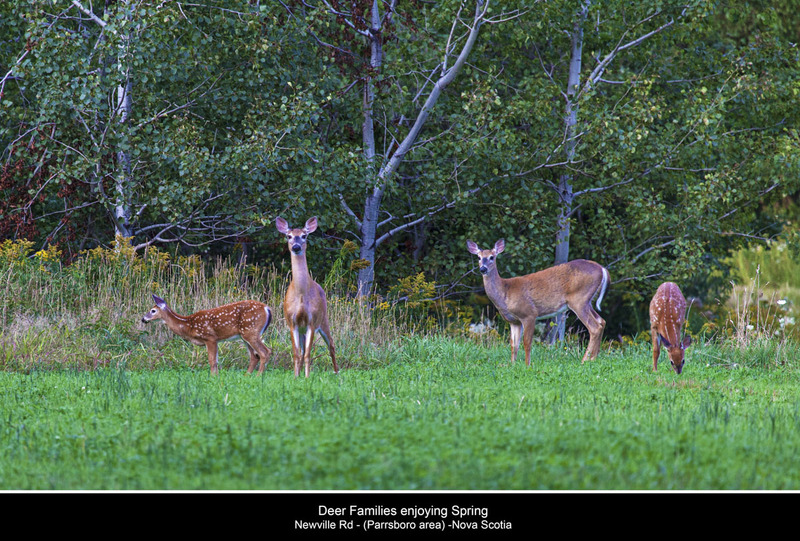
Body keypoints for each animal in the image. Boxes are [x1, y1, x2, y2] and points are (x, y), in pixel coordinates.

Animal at [141, 295, 273, 375]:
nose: (143, 319)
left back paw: (258, 376)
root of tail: (267, 309)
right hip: (245, 335)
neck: (188, 325)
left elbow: (212, 360)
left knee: (265, 352)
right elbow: (215, 360)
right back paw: (247, 376)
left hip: (251, 331)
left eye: (153, 310)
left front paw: (213, 378)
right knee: (254, 356)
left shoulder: (210, 338)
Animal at [276, 216, 339, 378]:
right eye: (289, 236)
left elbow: (307, 355)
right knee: (304, 349)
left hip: (323, 319)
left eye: (304, 236)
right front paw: (296, 377)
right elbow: (297, 354)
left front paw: (307, 377)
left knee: (331, 344)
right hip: (303, 330)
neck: (301, 296)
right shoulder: (292, 322)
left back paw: (337, 372)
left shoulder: (312, 321)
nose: (296, 247)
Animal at [466, 239, 609, 366]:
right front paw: (512, 364)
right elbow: (513, 344)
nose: (483, 269)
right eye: (479, 257)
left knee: (594, 327)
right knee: (601, 321)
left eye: (492, 257)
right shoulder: (514, 321)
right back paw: (593, 359)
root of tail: (602, 269)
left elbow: (526, 342)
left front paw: (527, 365)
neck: (505, 292)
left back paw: (584, 361)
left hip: (579, 300)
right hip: (587, 301)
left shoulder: (529, 314)